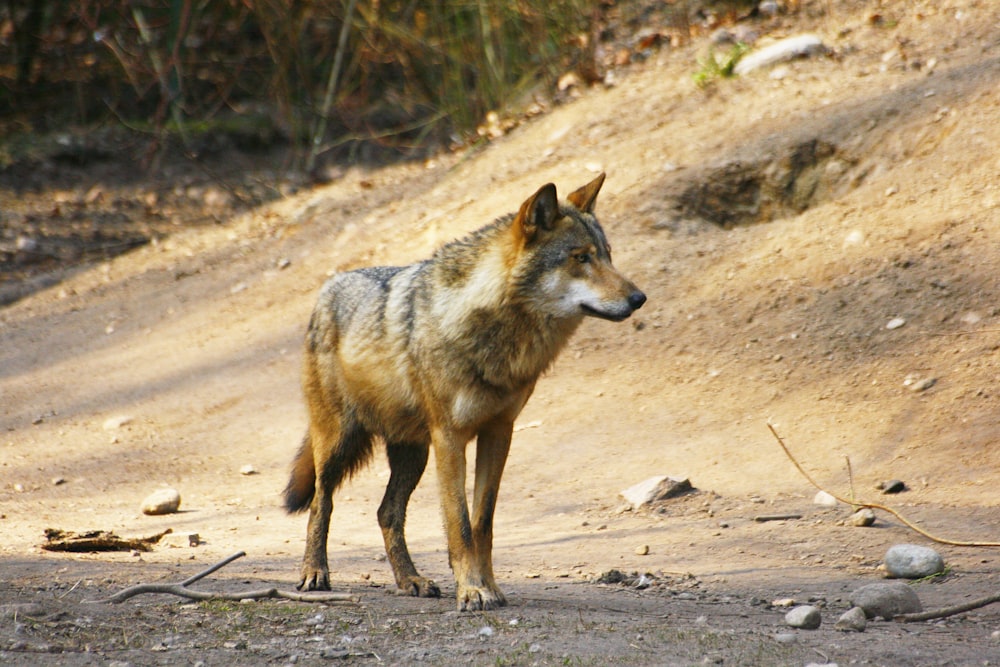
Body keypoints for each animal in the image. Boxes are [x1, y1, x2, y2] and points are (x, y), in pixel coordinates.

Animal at [288, 172, 648, 612]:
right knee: (321, 503)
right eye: (580, 258)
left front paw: (489, 587)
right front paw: (472, 591)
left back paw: (411, 580)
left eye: (608, 255)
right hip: (339, 443)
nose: (639, 298)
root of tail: (328, 287)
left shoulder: (498, 433)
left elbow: (482, 523)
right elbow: (458, 523)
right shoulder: (450, 438)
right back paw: (314, 573)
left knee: (386, 512)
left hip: (412, 455)